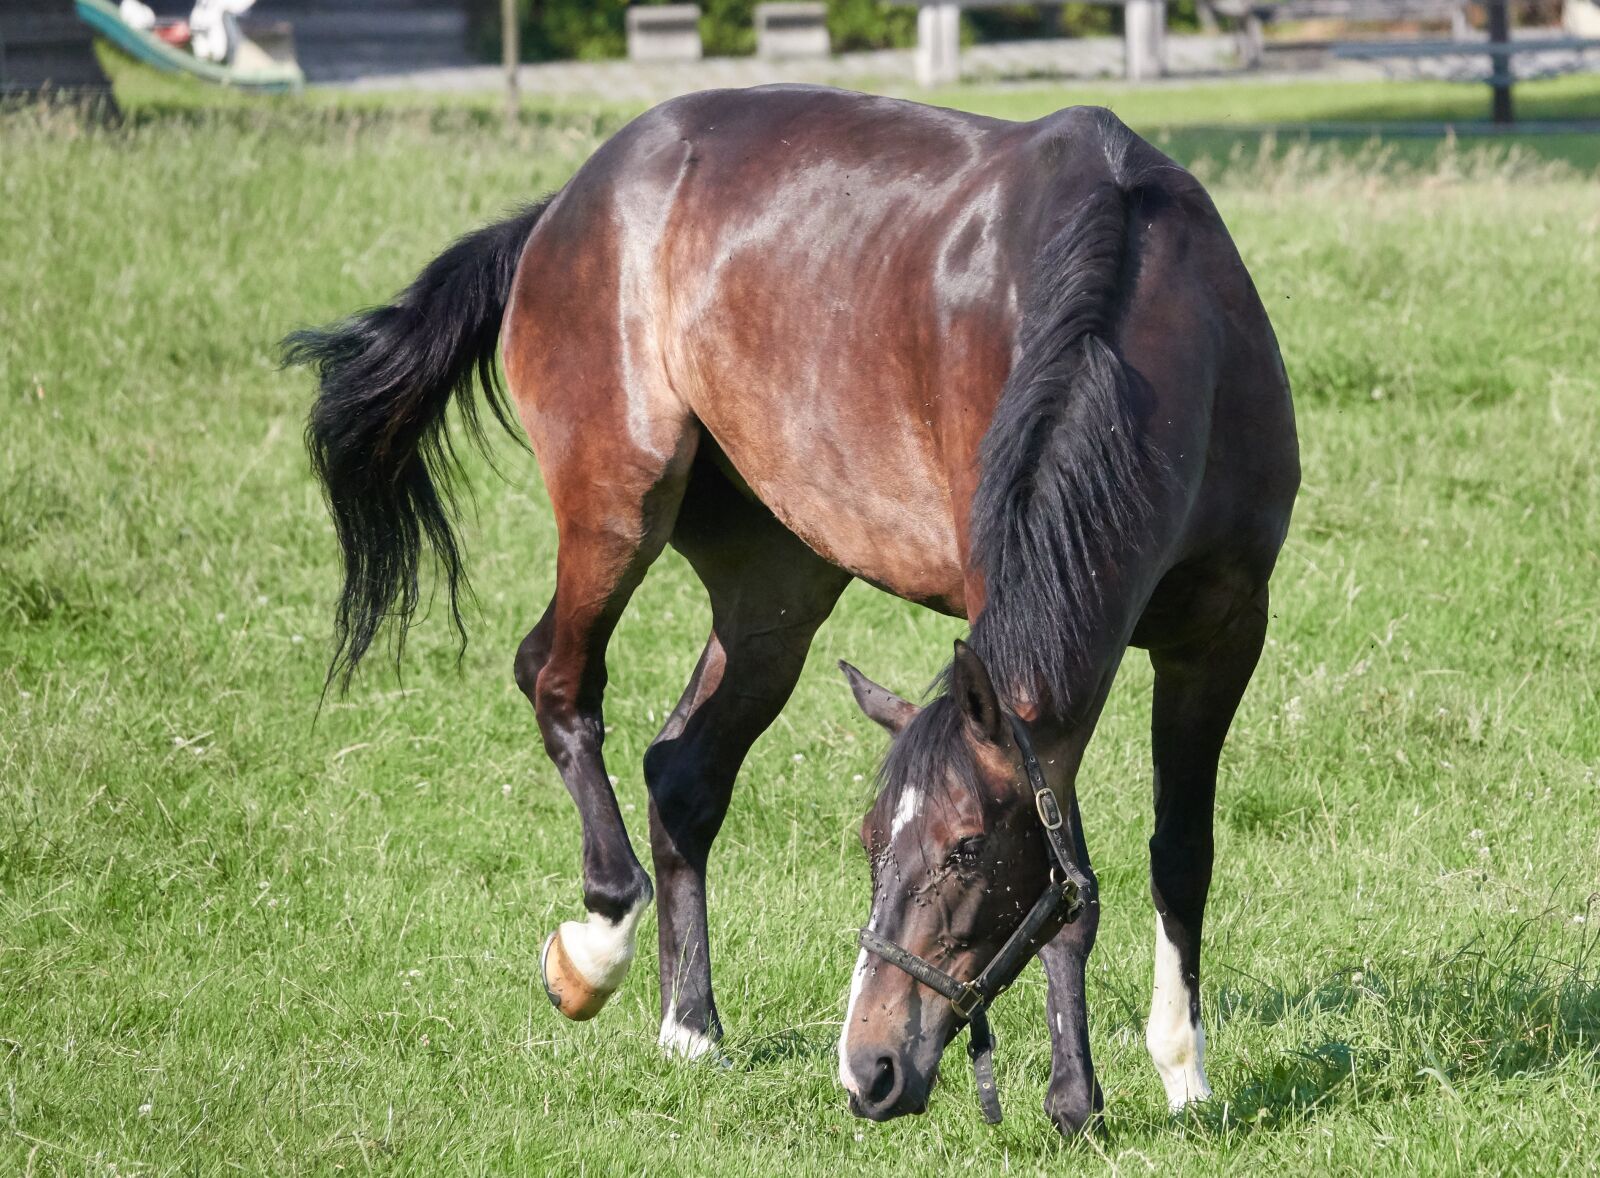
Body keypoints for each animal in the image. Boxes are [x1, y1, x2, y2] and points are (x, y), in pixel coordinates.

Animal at [285, 84, 1298, 1136]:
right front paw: (1077, 1096)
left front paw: (1181, 1071)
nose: (868, 1067)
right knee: (557, 681)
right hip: (616, 508)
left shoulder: (1224, 634)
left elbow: (1180, 851)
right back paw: (598, 943)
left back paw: (690, 1027)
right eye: (867, 844)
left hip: (775, 589)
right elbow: (1077, 880)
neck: (1154, 315)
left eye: (966, 850)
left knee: (682, 770)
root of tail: (565, 207)